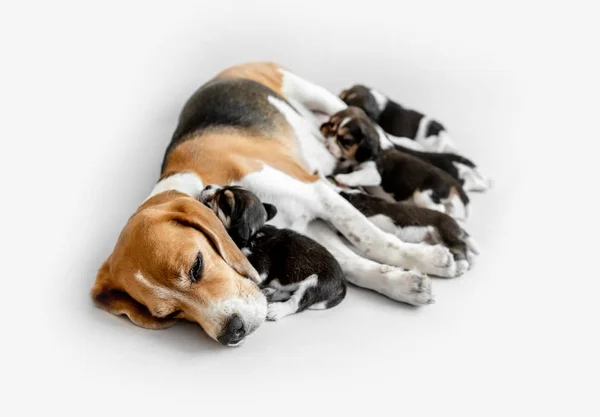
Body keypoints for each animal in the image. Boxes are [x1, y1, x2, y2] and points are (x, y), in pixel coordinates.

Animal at [200, 184, 346, 320]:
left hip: (316, 284)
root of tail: (343, 284)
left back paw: (276, 310)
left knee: (297, 302)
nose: (208, 186)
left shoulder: (259, 268)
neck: (255, 233)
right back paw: (270, 292)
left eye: (224, 200)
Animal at [322, 106, 472, 218]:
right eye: (331, 130)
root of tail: (452, 182)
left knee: (439, 209)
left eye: (346, 141)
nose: (327, 145)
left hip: (424, 195)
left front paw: (343, 178)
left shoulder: (373, 173)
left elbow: (357, 175)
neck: (378, 147)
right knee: (449, 208)